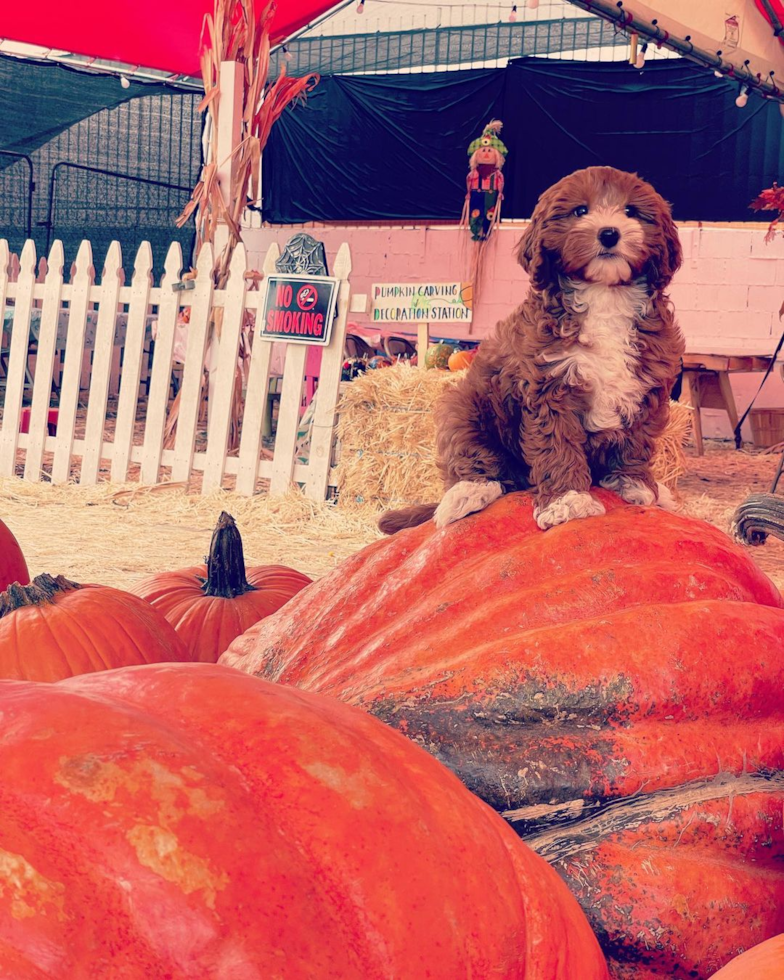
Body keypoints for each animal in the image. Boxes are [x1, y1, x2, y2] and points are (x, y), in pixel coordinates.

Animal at [382, 167, 688, 536]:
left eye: (631, 211)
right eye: (580, 211)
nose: (609, 234)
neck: (604, 295)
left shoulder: (648, 385)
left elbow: (637, 441)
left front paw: (636, 483)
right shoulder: (548, 386)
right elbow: (557, 447)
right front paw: (568, 502)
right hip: (465, 406)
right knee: (475, 456)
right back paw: (465, 495)